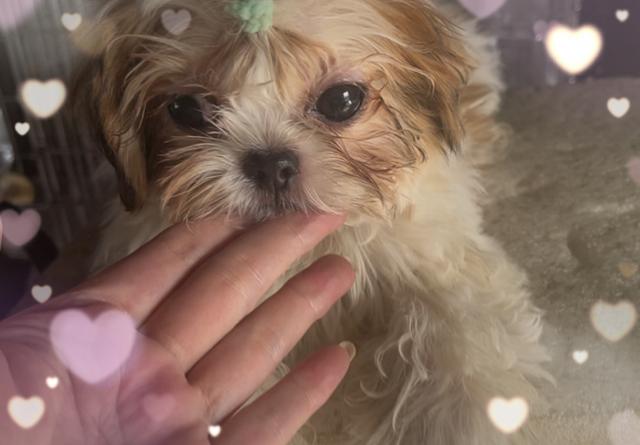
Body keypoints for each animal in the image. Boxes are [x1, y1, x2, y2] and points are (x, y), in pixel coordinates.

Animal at [75, 0, 550, 443]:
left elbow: (458, 327)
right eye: (188, 110)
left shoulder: (437, 255)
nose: (270, 163)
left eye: (341, 101)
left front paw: (458, 422)